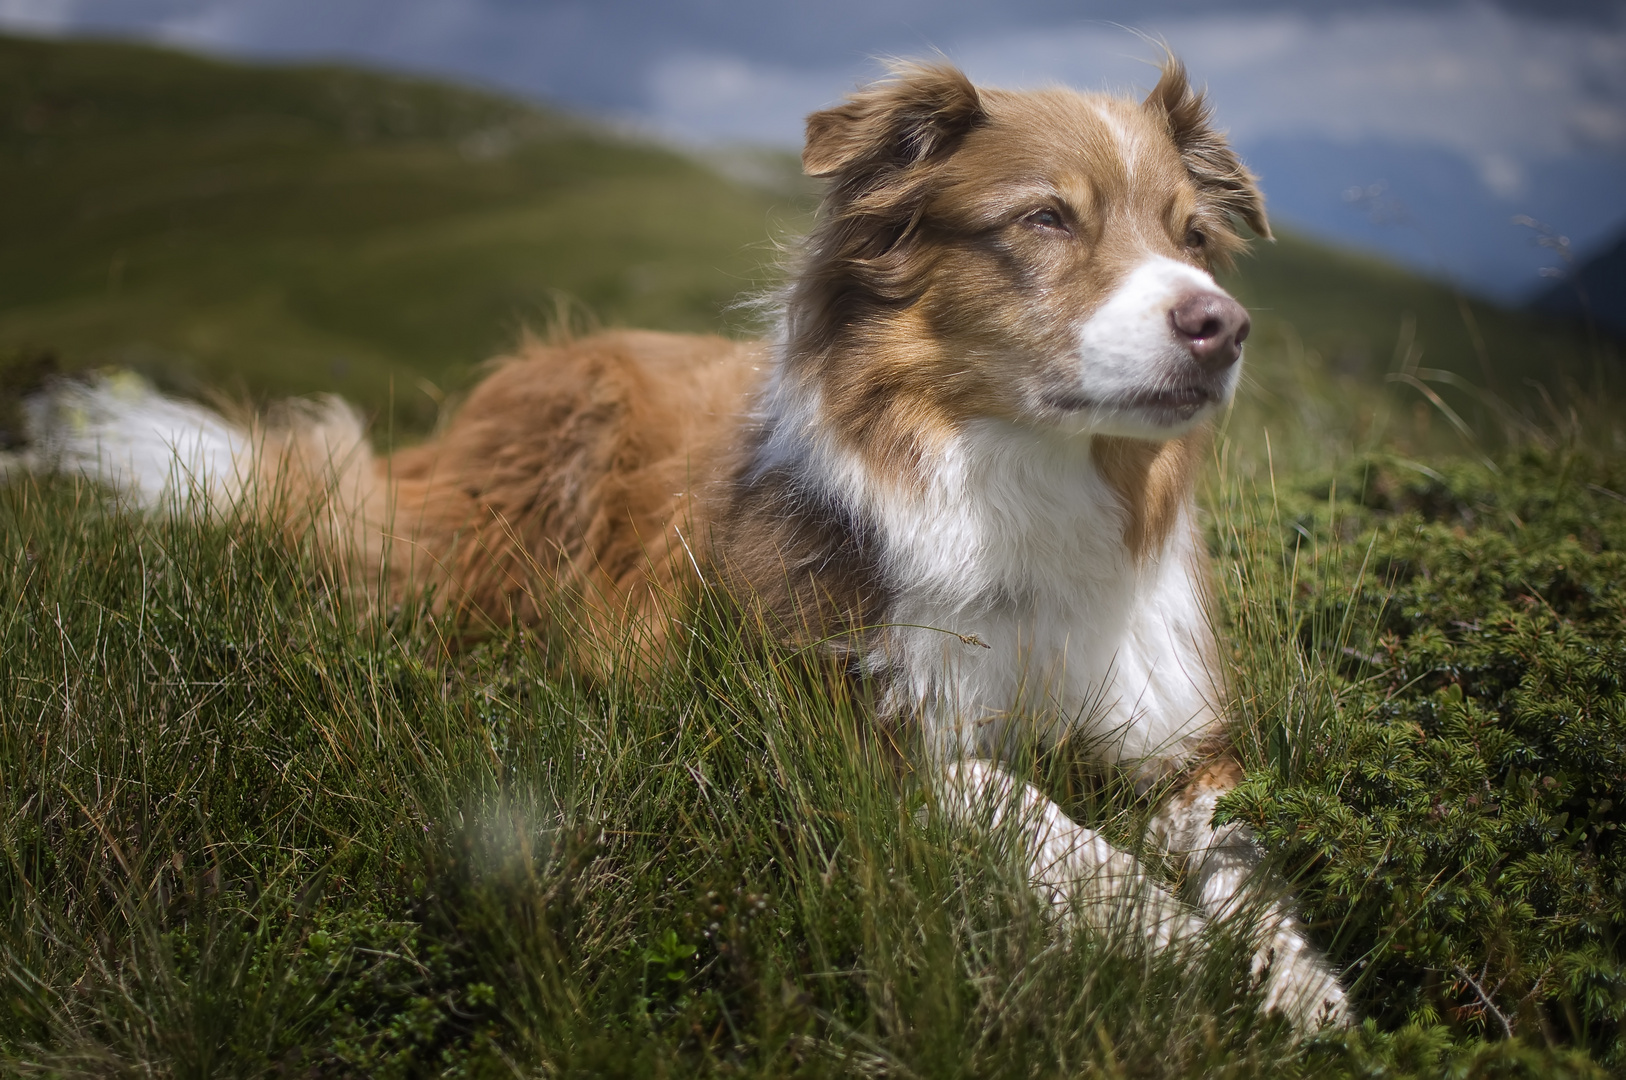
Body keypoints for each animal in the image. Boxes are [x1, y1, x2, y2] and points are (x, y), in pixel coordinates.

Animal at [25, 56, 1346, 1021]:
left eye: (1191, 236)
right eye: (1044, 220)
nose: (1221, 327)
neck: (1019, 486)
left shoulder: (1177, 736)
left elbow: (1249, 852)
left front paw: (1306, 984)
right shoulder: (815, 706)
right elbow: (1008, 795)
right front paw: (1158, 929)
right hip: (553, 448)